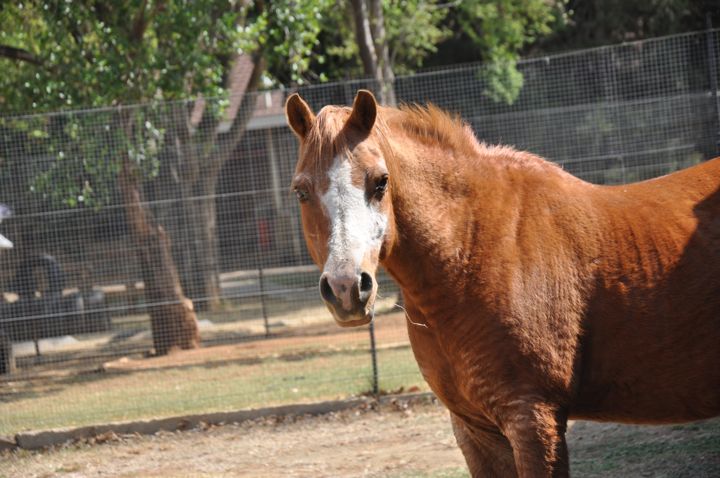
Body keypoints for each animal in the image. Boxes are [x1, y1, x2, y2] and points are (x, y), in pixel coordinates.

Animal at [285, 89, 720, 477]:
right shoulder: (475, 429)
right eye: (301, 191)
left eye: (380, 182)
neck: (472, 250)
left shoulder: (532, 418)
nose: (346, 289)